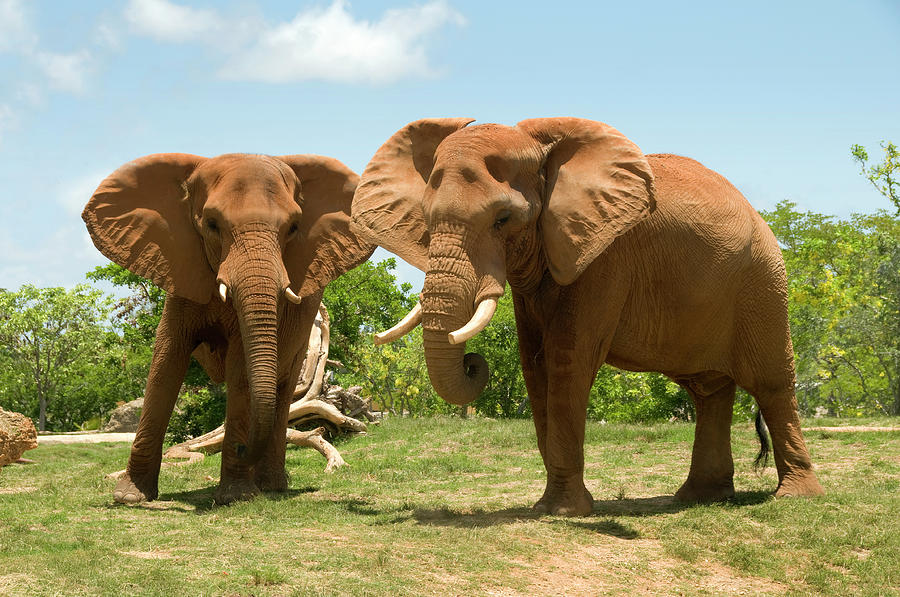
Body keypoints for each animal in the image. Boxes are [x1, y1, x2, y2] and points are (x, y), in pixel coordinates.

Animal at [350, 117, 824, 516]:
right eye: (427, 223)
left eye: (503, 219)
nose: (472, 361)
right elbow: (535, 366)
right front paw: (550, 506)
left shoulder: (603, 256)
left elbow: (567, 362)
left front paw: (562, 512)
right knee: (709, 391)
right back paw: (699, 498)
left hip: (762, 282)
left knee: (772, 383)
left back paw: (795, 497)